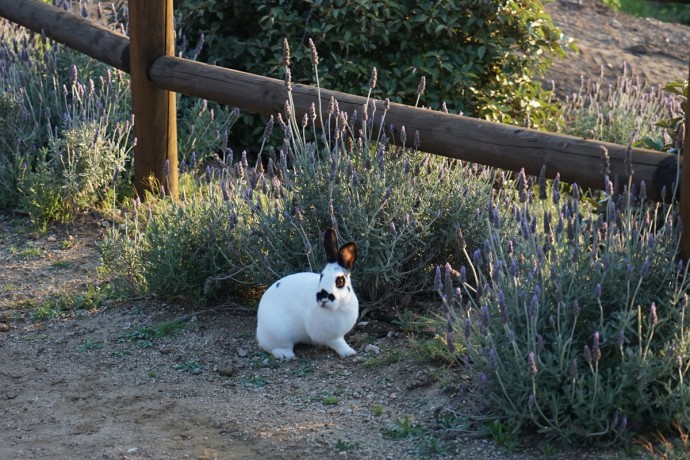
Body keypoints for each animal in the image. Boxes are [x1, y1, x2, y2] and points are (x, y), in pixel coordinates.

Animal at [254, 228, 360, 362]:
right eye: (321, 276)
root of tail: (260, 327)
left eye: (340, 281)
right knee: (273, 348)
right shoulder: (331, 337)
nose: (322, 298)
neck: (340, 306)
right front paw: (349, 352)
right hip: (280, 335)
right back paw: (286, 355)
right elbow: (338, 343)